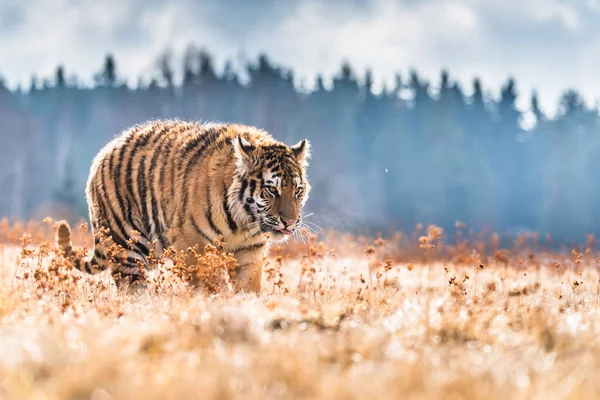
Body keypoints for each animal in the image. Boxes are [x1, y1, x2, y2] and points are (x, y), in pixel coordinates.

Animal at [55, 119, 314, 294]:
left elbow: (249, 286)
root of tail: (102, 154)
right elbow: (209, 285)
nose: (290, 222)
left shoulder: (250, 251)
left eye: (297, 191)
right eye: (272, 190)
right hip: (128, 247)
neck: (244, 222)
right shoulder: (193, 243)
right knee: (131, 289)